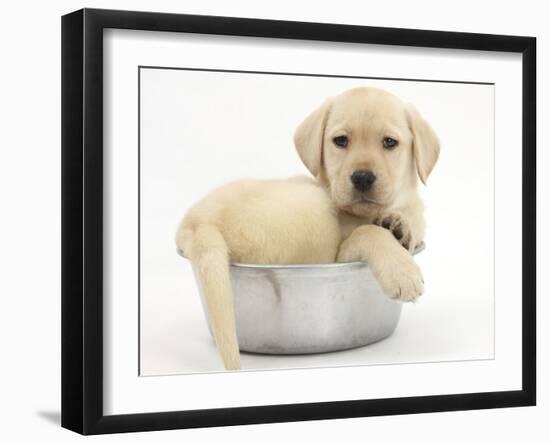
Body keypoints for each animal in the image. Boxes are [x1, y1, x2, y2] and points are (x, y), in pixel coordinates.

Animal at [177, 86, 440, 372]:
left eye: (389, 142)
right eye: (341, 141)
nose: (362, 178)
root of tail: (199, 222)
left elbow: (406, 220)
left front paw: (398, 225)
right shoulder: (340, 254)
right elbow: (368, 233)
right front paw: (401, 271)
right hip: (315, 211)